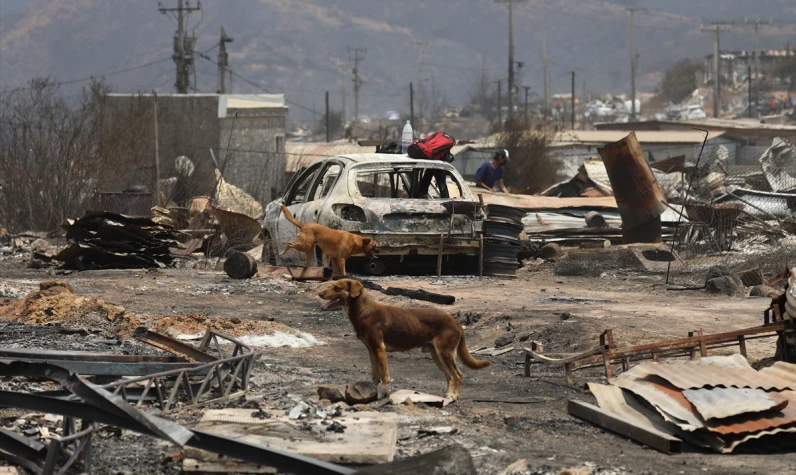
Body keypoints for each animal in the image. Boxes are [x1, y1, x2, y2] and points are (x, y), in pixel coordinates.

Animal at [320, 278, 488, 402]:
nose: (320, 293)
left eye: (336, 287)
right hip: (437, 356)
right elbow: (375, 376)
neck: (364, 311)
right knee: (450, 376)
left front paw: (385, 394)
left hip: (445, 353)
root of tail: (455, 322)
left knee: (458, 375)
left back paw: (454, 396)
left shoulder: (379, 349)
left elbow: (385, 377)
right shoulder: (371, 350)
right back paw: (447, 395)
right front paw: (371, 393)